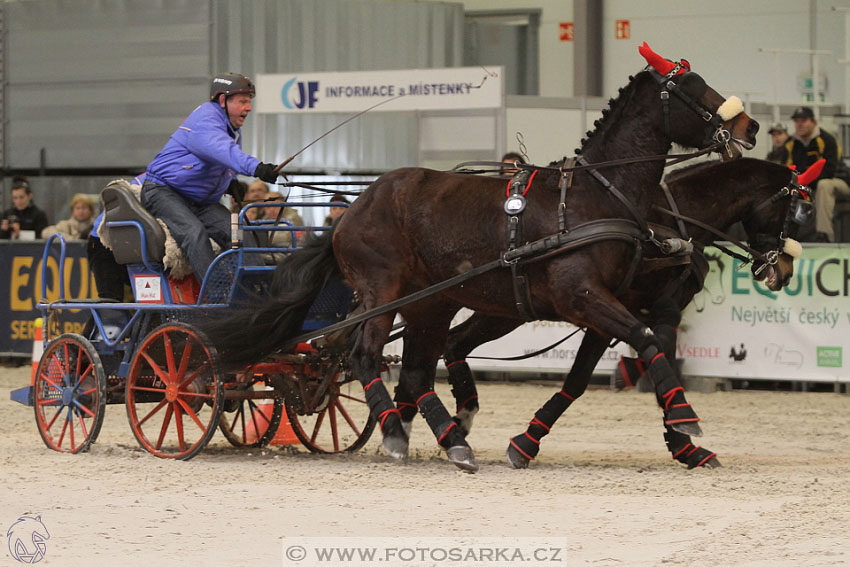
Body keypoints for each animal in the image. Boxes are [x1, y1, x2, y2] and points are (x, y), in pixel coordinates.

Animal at [209, 43, 760, 470]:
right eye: (693, 88)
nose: (750, 127)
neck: (595, 196)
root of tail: (354, 208)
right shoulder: (582, 296)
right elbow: (645, 340)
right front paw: (686, 422)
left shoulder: (608, 303)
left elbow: (622, 356)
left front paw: (680, 435)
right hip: (381, 291)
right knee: (365, 355)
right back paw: (397, 433)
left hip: (430, 303)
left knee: (414, 370)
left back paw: (451, 440)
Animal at [428, 156, 812, 470]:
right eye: (795, 213)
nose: (785, 272)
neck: (673, 222)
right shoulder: (615, 309)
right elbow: (588, 376)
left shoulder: (654, 311)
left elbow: (653, 359)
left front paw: (681, 440)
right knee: (450, 343)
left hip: (507, 310)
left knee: (454, 343)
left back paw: (453, 422)